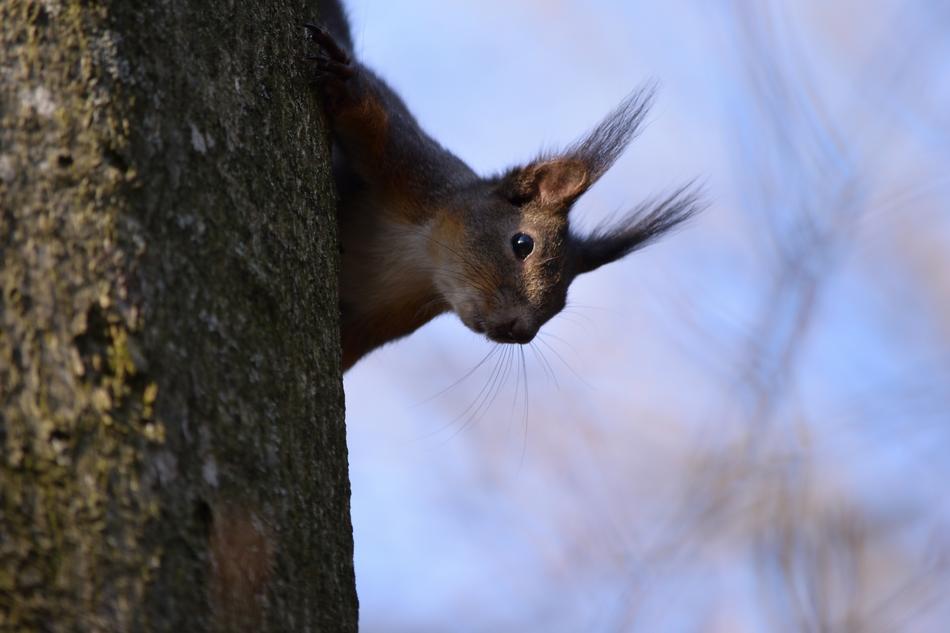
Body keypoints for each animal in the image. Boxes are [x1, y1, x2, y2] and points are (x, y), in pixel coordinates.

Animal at [307, 1, 702, 372]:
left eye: (563, 299)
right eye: (523, 244)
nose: (520, 330)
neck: (419, 261)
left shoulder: (376, 325)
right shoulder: (414, 165)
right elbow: (372, 112)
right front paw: (343, 83)